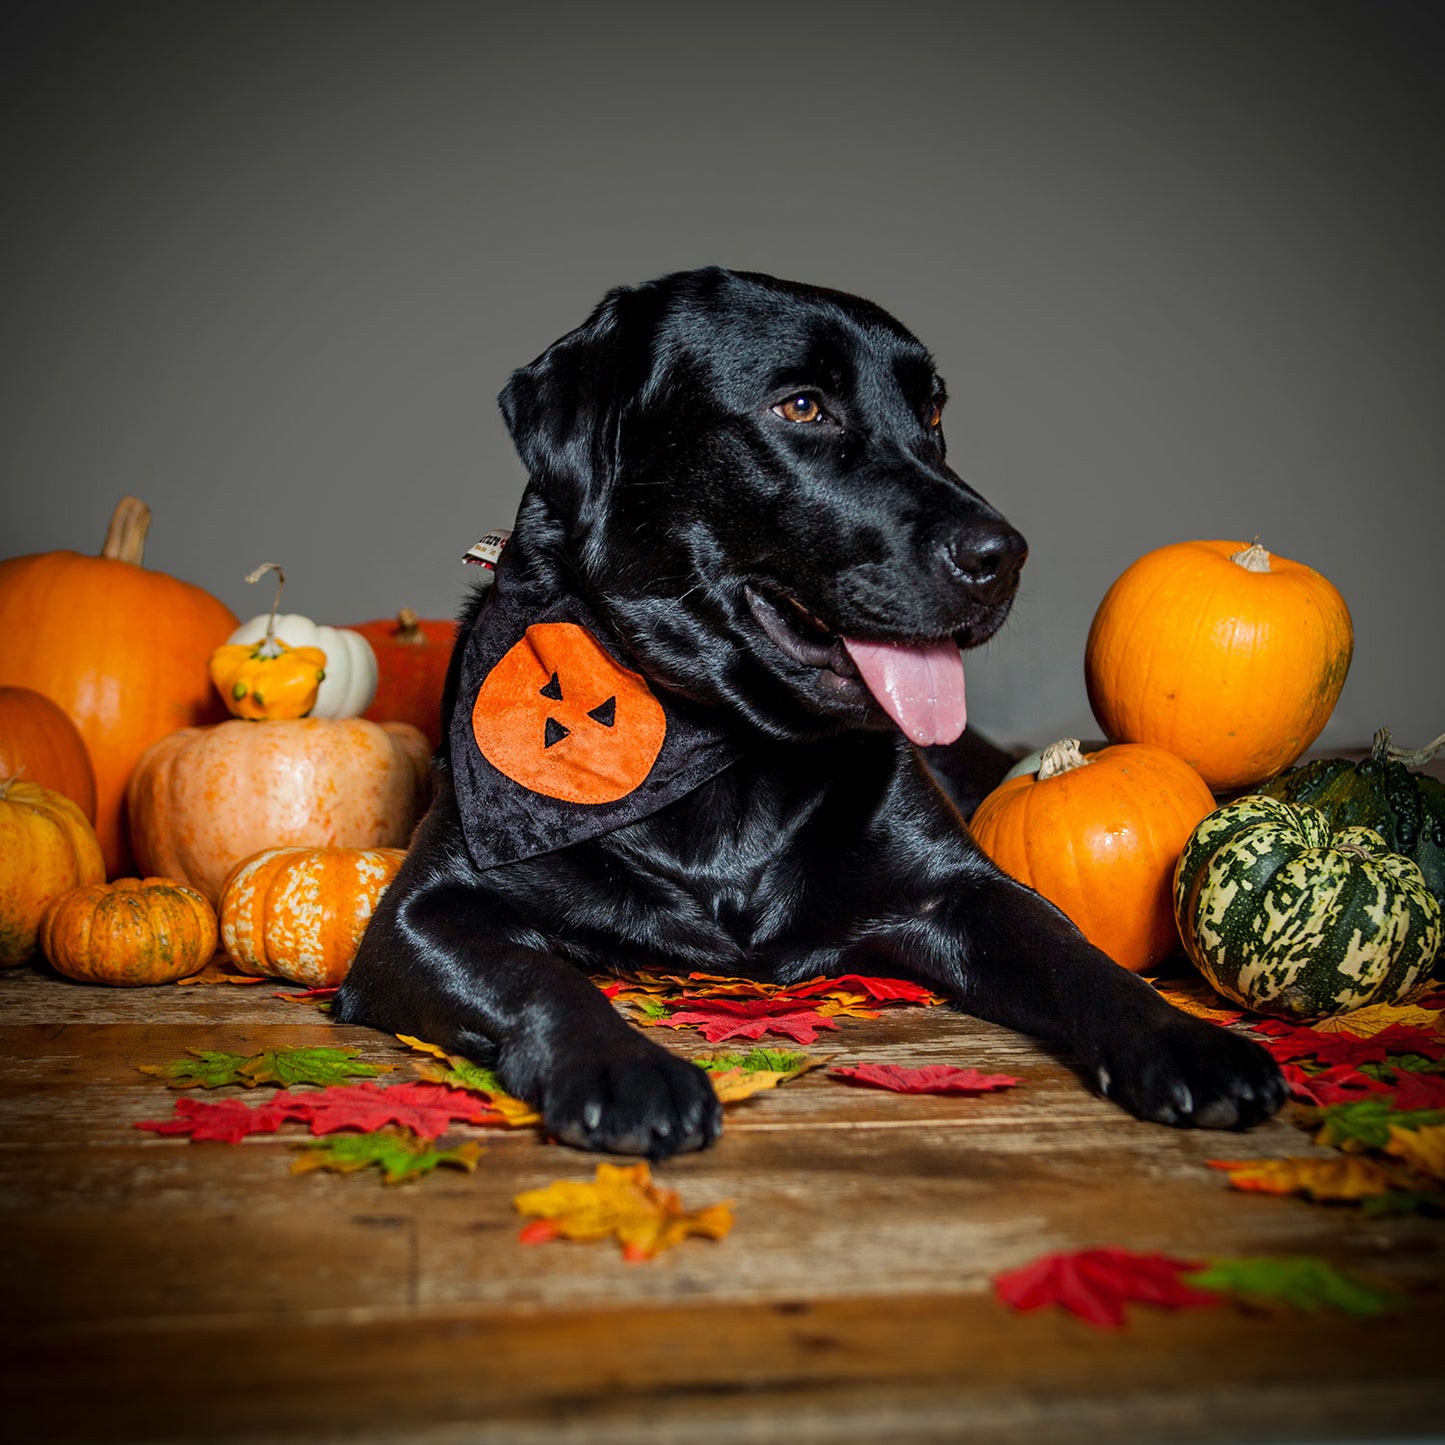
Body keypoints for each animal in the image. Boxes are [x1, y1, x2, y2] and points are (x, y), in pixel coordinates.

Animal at [332, 265, 1283, 1156]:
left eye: (932, 411)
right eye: (801, 406)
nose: (1003, 556)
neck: (719, 745)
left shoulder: (960, 886)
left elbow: (1070, 947)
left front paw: (1185, 1039)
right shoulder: (422, 916)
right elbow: (540, 976)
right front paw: (626, 1067)